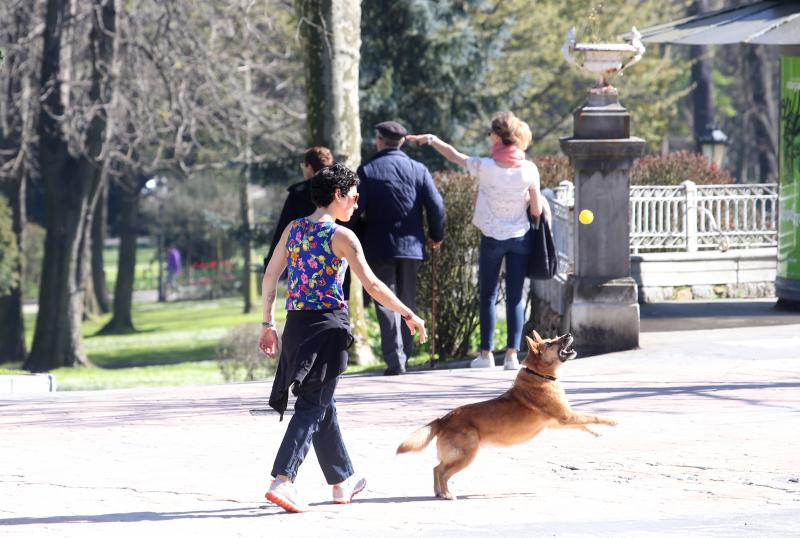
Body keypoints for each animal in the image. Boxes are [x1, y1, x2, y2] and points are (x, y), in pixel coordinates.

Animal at [396, 330, 616, 498]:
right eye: (550, 343)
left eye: (554, 338)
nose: (568, 334)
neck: (538, 375)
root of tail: (444, 419)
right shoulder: (566, 416)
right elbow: (593, 416)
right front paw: (612, 421)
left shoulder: (559, 421)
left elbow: (584, 424)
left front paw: (597, 433)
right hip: (466, 455)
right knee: (442, 472)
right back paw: (447, 494)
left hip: (456, 455)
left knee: (436, 469)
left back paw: (438, 492)